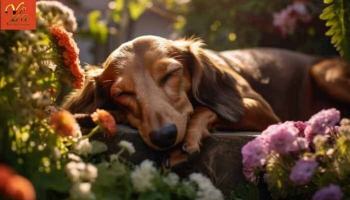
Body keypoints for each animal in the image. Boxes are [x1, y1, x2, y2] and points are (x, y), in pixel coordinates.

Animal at [63, 35, 350, 167]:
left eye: (170, 74)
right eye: (122, 94)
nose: (164, 136)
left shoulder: (264, 111)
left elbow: (205, 108)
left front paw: (188, 141)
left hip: (325, 73)